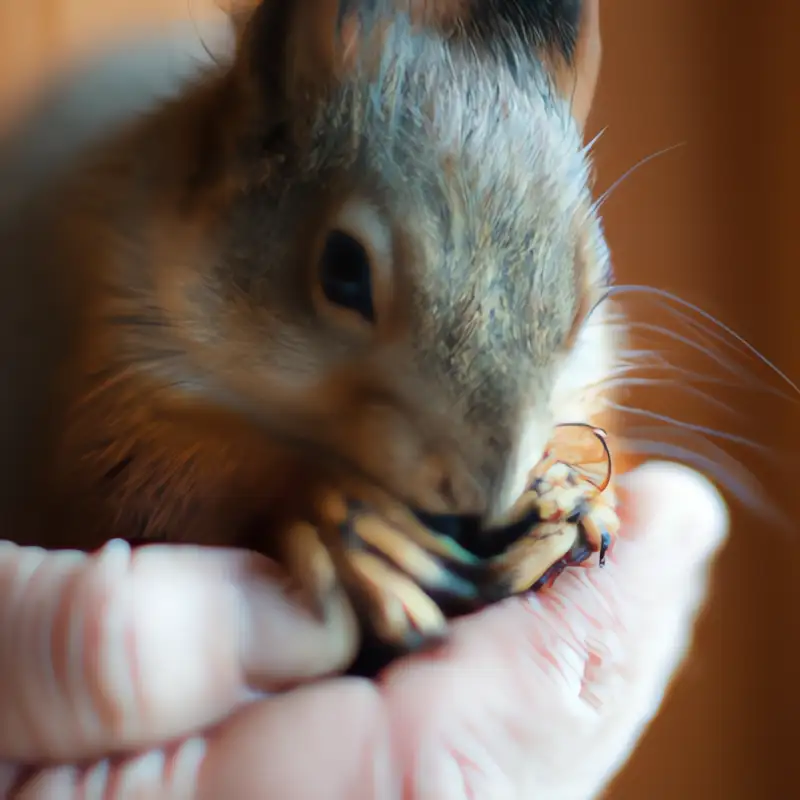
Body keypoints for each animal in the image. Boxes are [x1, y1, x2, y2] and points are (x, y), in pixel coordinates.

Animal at [0, 1, 620, 676]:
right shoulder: (114, 350)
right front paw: (336, 512)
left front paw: (567, 490)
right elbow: (123, 478)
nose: (483, 495)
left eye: (590, 295)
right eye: (343, 271)